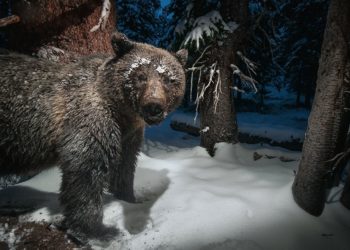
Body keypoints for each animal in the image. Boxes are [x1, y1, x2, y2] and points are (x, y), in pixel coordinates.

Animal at [0, 32, 187, 239]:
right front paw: (94, 229)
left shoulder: (129, 136)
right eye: (140, 75)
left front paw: (129, 199)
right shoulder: (90, 121)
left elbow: (125, 167)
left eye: (169, 79)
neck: (123, 113)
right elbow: (86, 171)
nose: (154, 106)